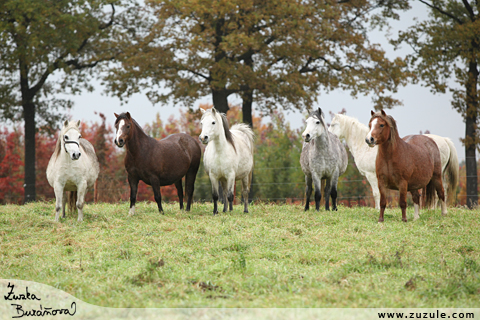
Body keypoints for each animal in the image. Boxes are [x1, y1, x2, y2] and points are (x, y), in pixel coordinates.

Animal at [328, 113, 460, 210]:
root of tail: (444, 140)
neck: (365, 147)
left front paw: (377, 209)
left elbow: (376, 193)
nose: (328, 135)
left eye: (333, 124)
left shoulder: (372, 176)